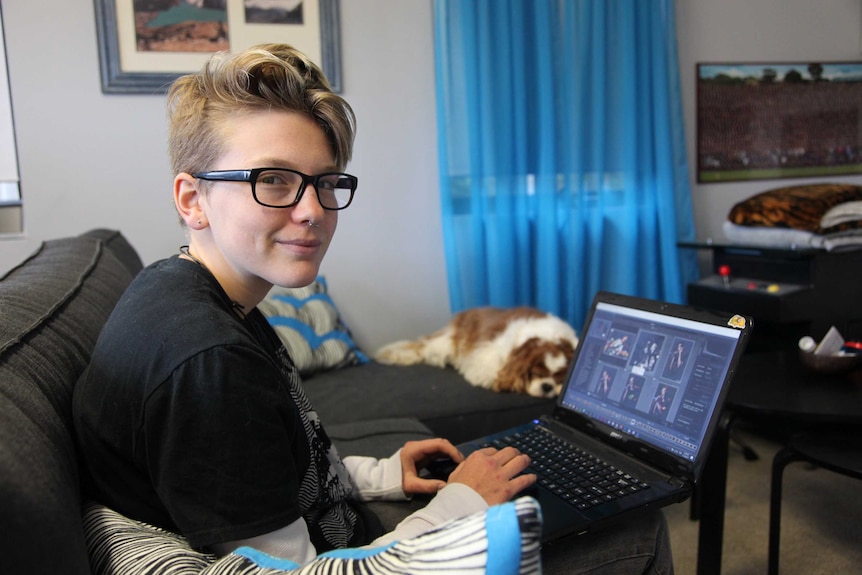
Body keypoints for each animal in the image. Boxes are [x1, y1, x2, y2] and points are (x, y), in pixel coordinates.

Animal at [372, 308, 580, 398]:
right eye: (535, 373)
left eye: (560, 378)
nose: (547, 387)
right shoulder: (486, 364)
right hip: (443, 346)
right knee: (426, 349)